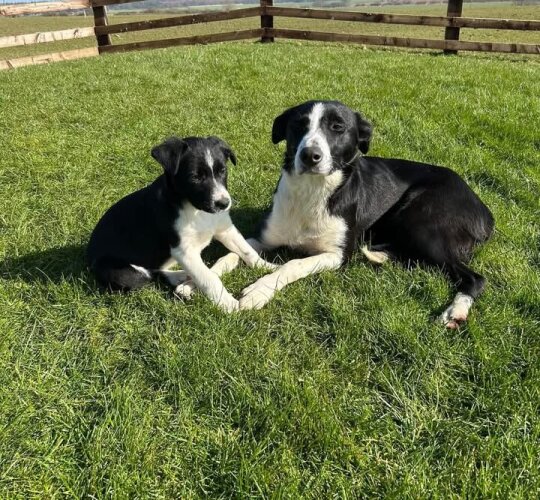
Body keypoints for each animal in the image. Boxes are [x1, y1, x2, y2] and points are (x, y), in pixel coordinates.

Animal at [88, 135, 276, 310]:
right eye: (195, 177)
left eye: (222, 171)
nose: (223, 204)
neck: (196, 211)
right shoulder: (184, 250)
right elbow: (209, 278)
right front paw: (228, 304)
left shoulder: (225, 228)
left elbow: (247, 250)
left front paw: (269, 268)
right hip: (118, 272)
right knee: (149, 276)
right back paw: (181, 276)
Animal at [224, 101, 494, 328]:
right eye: (298, 125)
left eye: (337, 127)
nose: (310, 156)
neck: (313, 191)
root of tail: (482, 207)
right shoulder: (263, 238)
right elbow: (235, 251)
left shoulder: (337, 255)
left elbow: (293, 264)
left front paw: (260, 290)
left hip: (419, 221)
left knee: (475, 278)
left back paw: (456, 311)